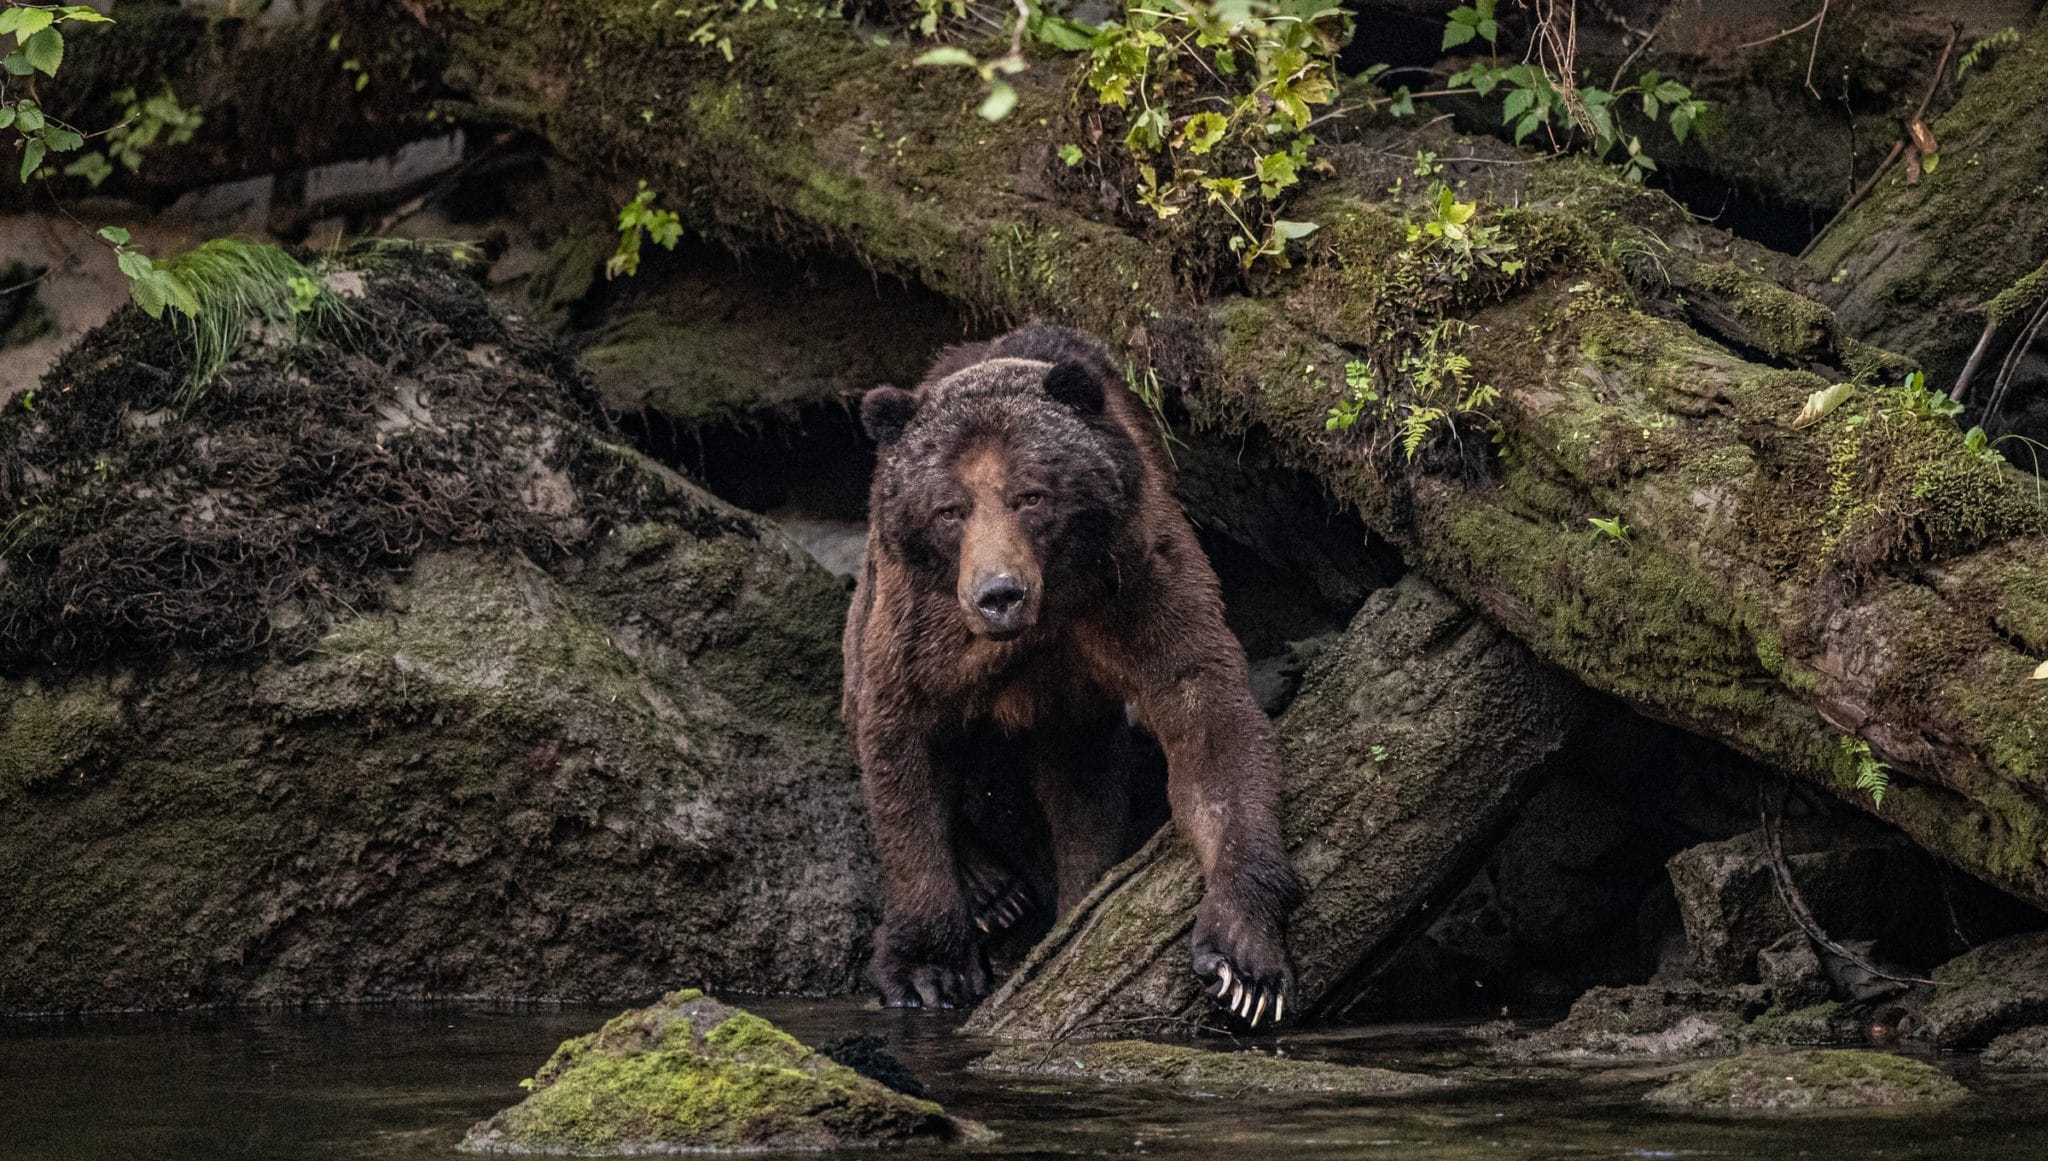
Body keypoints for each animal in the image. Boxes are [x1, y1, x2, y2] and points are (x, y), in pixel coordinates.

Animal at [843, 323, 1294, 1023]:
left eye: (1030, 496)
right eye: (950, 509)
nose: (998, 594)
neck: (1045, 615)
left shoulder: (1134, 582)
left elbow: (1209, 720)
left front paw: (1243, 960)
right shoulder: (919, 624)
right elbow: (901, 745)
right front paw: (928, 971)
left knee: (1082, 787)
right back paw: (991, 888)